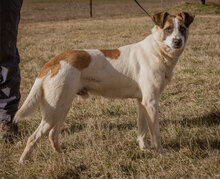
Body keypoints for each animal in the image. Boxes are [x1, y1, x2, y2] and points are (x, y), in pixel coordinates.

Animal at [14, 10, 194, 162]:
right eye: (168, 29)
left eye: (182, 28)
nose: (178, 41)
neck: (158, 50)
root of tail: (54, 61)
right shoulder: (151, 103)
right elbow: (155, 133)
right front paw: (161, 153)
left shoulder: (142, 102)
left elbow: (142, 131)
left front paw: (145, 150)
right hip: (55, 110)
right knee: (33, 137)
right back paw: (23, 162)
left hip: (62, 106)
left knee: (52, 134)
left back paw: (61, 155)